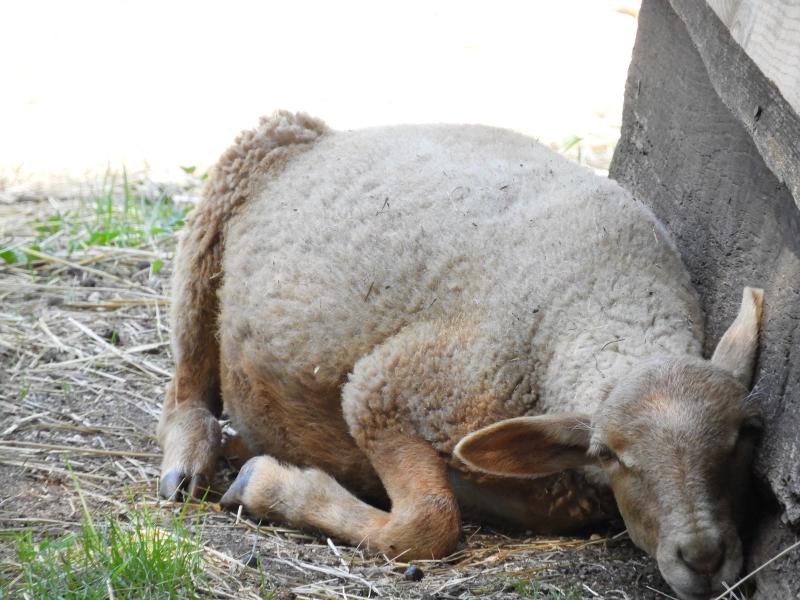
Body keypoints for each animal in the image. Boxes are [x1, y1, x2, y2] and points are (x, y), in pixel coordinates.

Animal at [157, 111, 764, 600]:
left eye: (742, 438)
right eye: (611, 454)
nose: (704, 558)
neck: (604, 308)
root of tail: (337, 134)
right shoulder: (387, 386)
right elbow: (428, 525)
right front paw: (265, 486)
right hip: (222, 202)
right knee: (186, 379)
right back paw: (187, 464)